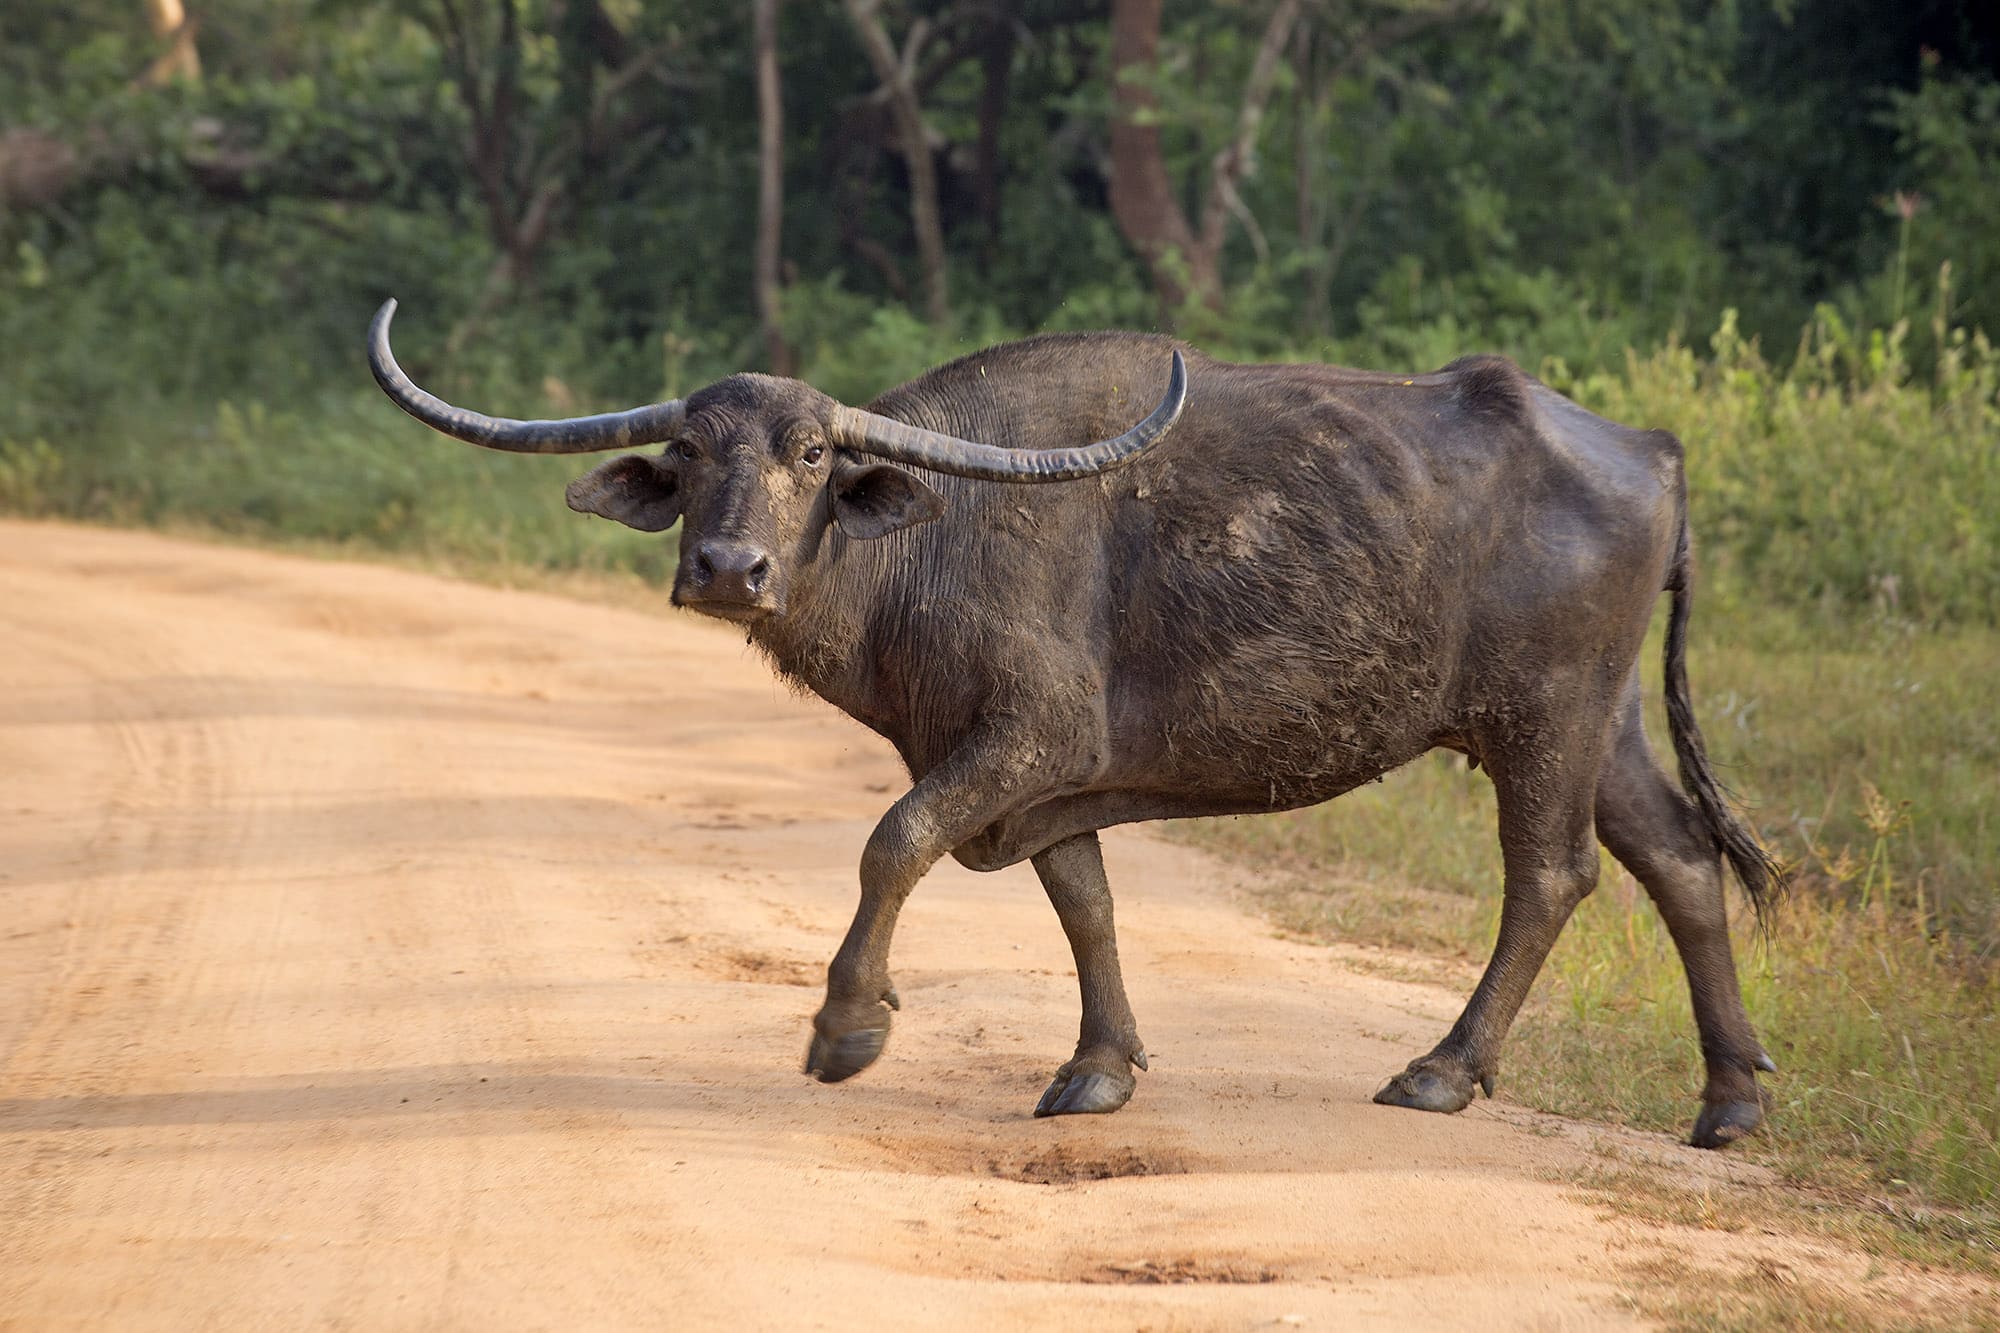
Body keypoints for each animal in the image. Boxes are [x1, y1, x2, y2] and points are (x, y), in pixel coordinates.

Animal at [372, 300, 1784, 1144]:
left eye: (811, 456)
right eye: (690, 457)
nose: (728, 568)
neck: (925, 537)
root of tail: (1650, 450)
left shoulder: (1028, 738)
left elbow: (895, 840)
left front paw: (848, 1028)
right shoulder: (1047, 775)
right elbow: (1084, 900)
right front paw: (1097, 1066)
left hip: (1541, 713)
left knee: (1549, 873)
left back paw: (1440, 1069)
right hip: (1601, 721)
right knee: (1676, 858)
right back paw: (1727, 1097)